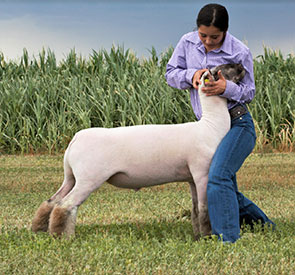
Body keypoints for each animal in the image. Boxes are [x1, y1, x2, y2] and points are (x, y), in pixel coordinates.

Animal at [31, 63, 245, 240]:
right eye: (225, 67)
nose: (242, 66)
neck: (211, 125)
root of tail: (76, 138)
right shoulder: (202, 172)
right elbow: (204, 209)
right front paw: (207, 237)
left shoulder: (192, 178)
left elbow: (195, 210)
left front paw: (198, 236)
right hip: (88, 179)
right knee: (65, 205)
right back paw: (62, 237)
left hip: (71, 177)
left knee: (51, 201)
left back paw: (39, 229)